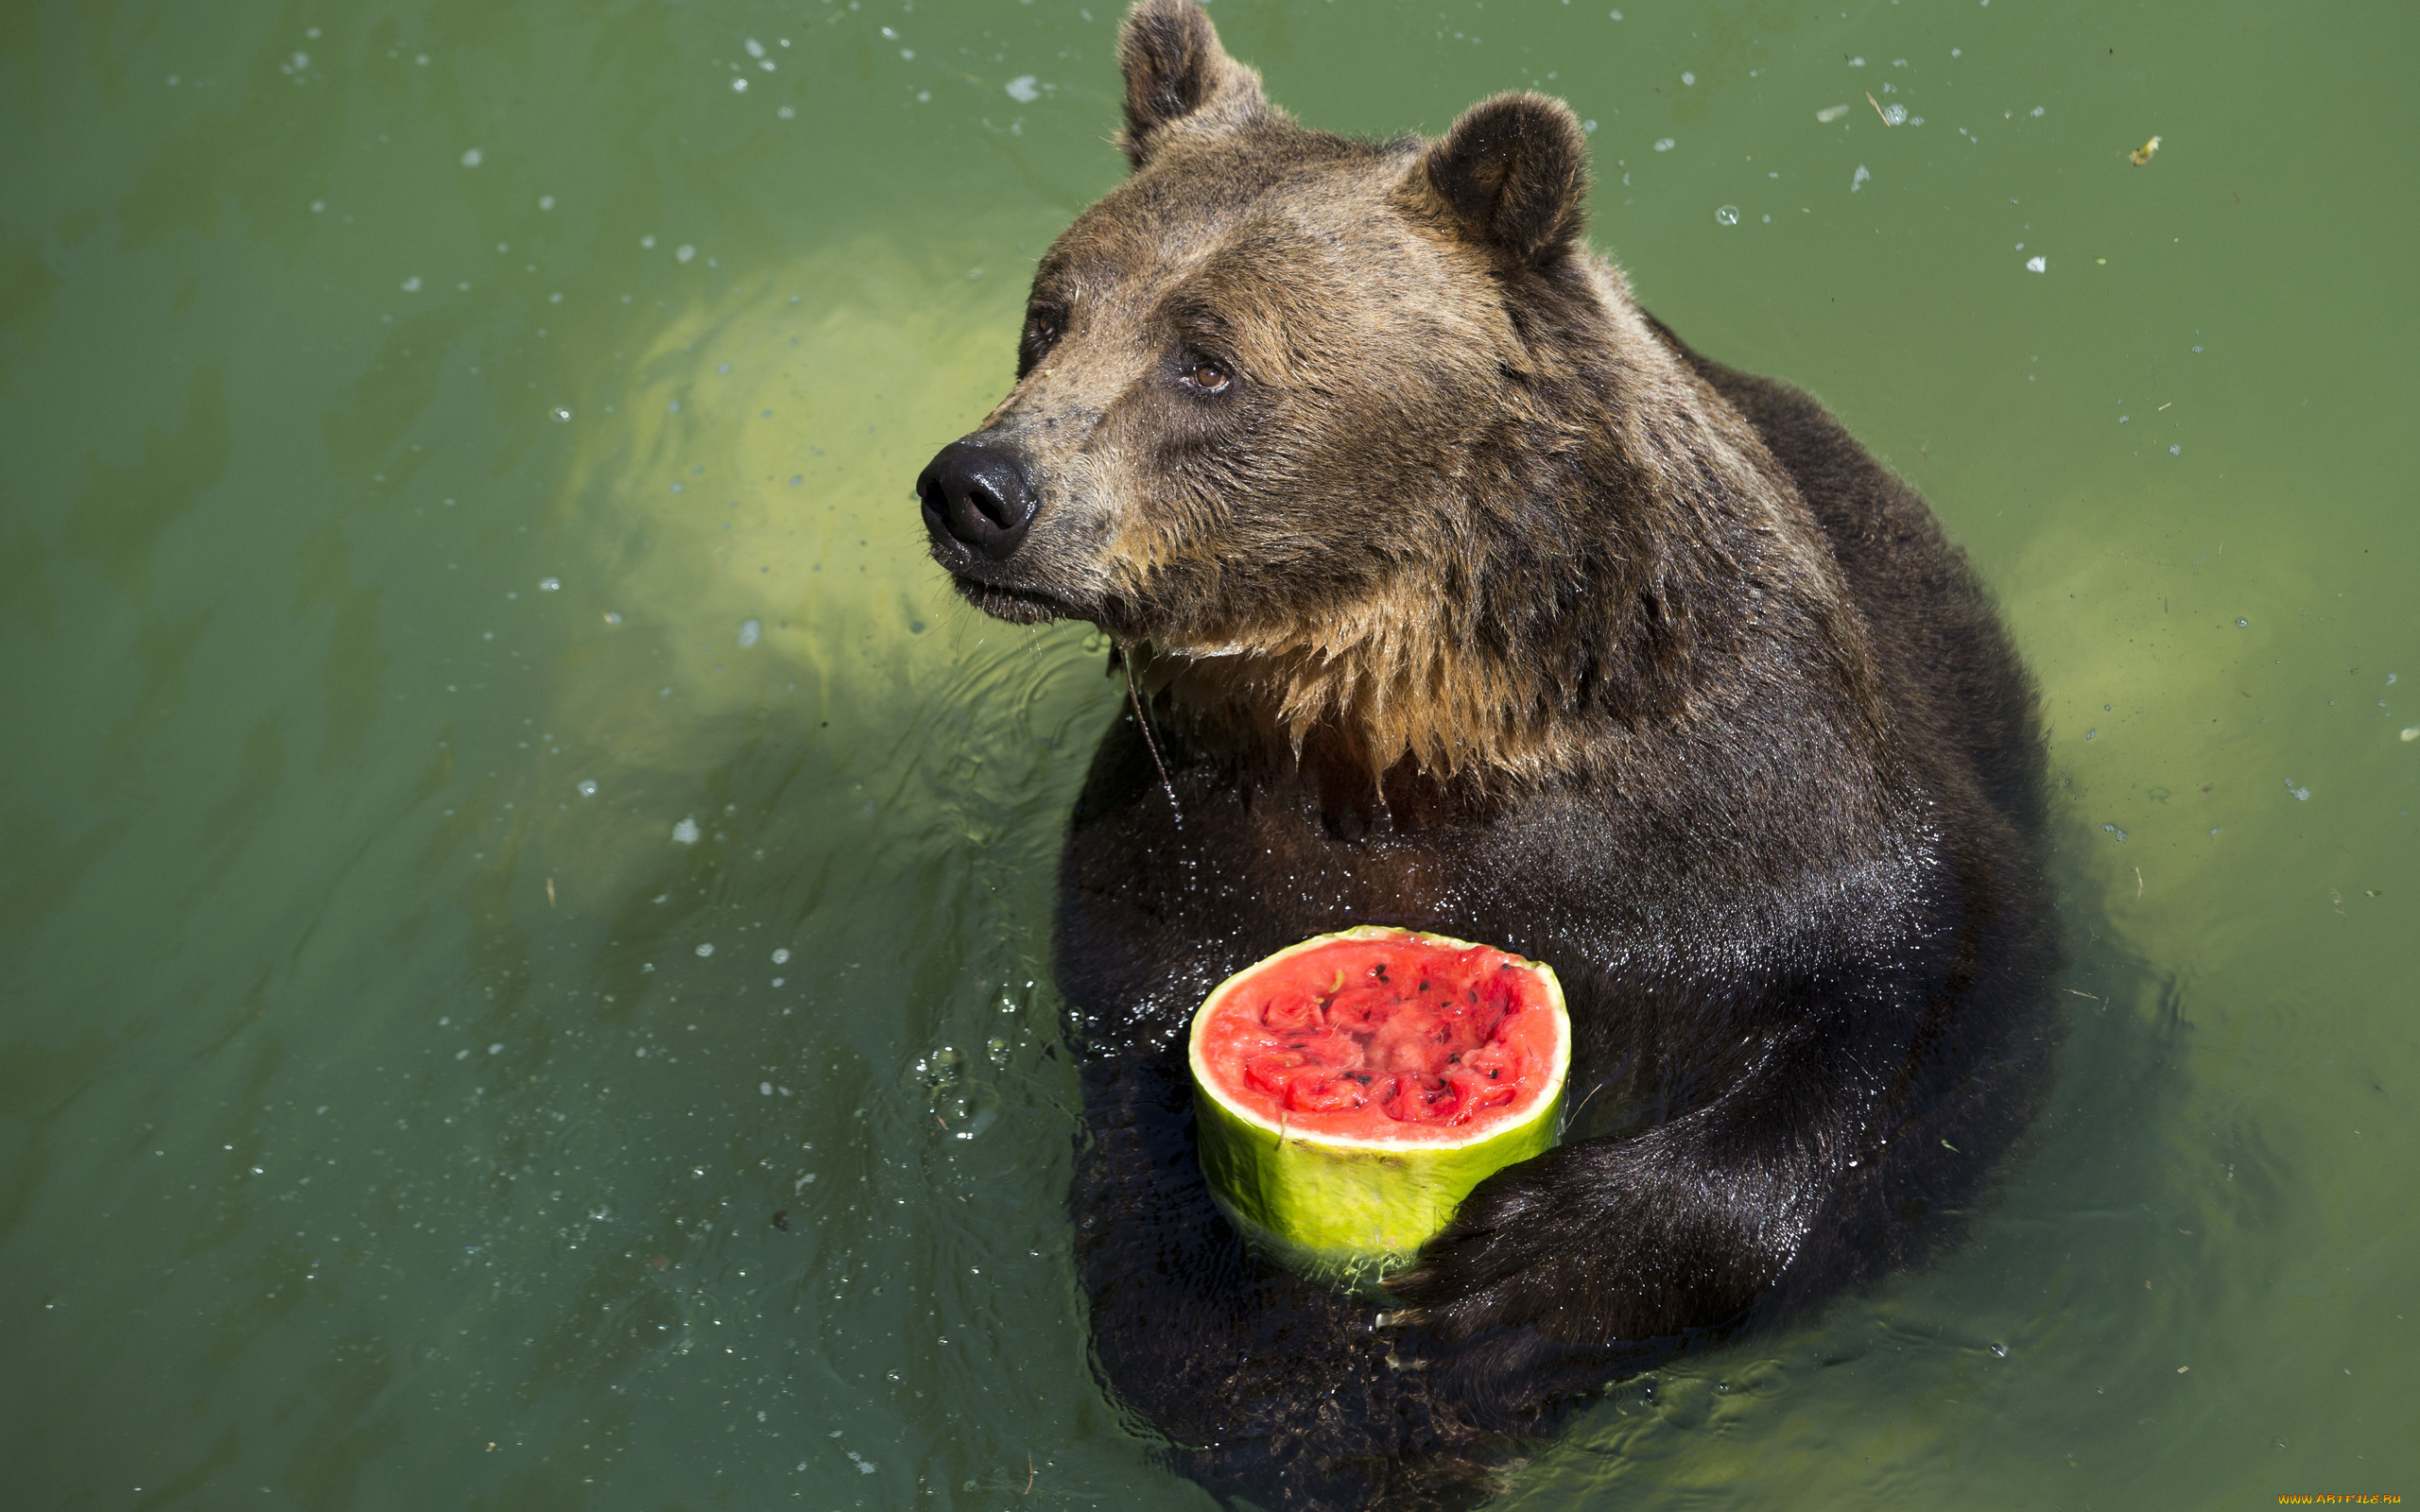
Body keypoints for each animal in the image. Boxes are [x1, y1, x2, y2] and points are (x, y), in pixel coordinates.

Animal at [913, 3, 2054, 1507]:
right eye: (1051, 316)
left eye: (1204, 358)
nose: (978, 489)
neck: (1406, 725)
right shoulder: (1184, 840)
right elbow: (1136, 1109)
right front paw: (1267, 1381)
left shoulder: (1749, 808)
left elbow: (1917, 998)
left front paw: (1520, 1282)